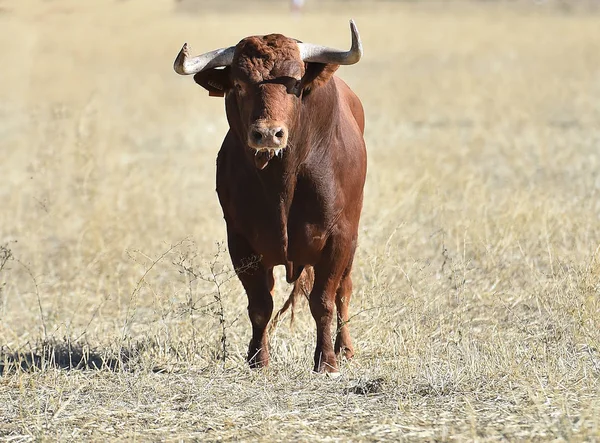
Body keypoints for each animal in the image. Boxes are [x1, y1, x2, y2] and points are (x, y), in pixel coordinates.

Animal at [173, 21, 368, 374]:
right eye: (238, 83)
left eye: (295, 82)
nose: (267, 134)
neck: (283, 181)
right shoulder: (240, 242)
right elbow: (260, 304)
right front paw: (257, 359)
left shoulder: (339, 238)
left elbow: (323, 300)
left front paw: (326, 361)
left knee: (344, 291)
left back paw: (345, 348)